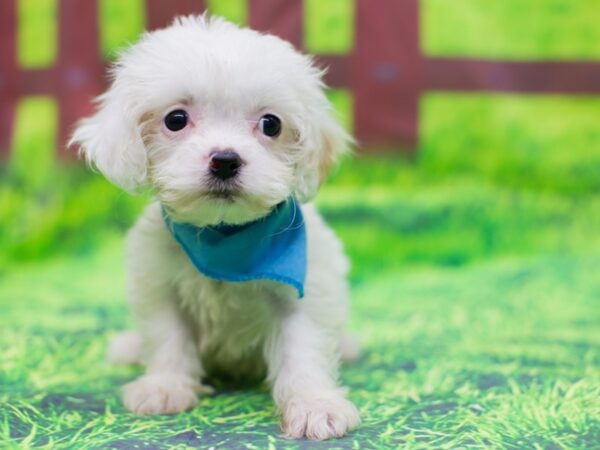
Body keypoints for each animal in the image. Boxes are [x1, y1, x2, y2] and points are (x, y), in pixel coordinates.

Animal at [71, 14, 360, 440]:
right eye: (176, 119)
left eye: (271, 124)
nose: (225, 160)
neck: (223, 236)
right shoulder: (158, 283)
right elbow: (167, 336)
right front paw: (165, 387)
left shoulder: (306, 289)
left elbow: (303, 347)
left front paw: (314, 405)